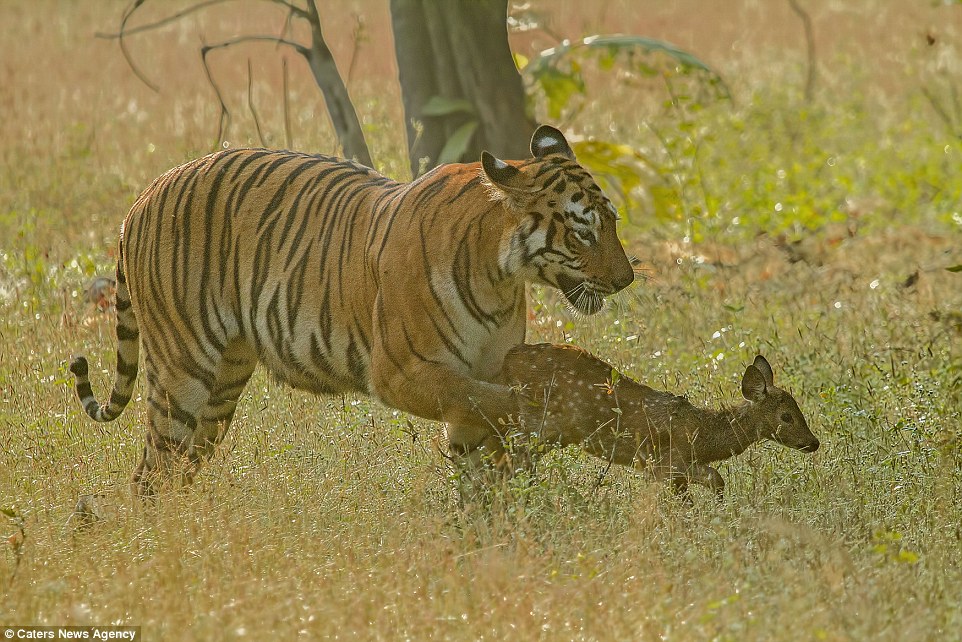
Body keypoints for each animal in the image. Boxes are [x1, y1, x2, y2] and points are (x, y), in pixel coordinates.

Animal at [69, 124, 636, 496]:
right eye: (584, 232)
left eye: (613, 221)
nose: (626, 280)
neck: (500, 275)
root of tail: (143, 196)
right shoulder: (400, 372)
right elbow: (482, 399)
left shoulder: (484, 368)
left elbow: (482, 460)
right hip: (183, 368)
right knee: (152, 472)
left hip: (221, 385)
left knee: (179, 467)